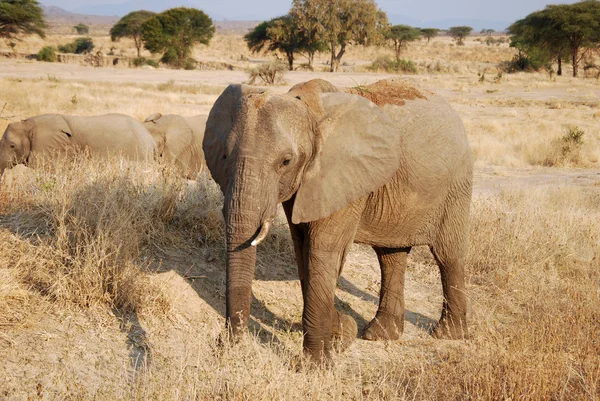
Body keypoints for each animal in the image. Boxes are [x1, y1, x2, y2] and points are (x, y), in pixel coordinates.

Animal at [204, 78, 476, 362]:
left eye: (286, 162)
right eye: (224, 156)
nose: (223, 344)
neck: (308, 108)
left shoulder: (341, 174)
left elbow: (322, 250)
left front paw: (315, 363)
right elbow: (303, 249)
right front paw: (341, 335)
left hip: (456, 185)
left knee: (447, 254)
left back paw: (448, 334)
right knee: (390, 256)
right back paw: (379, 334)